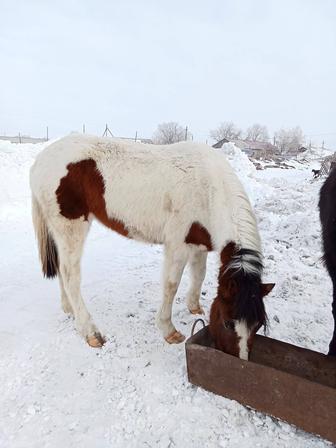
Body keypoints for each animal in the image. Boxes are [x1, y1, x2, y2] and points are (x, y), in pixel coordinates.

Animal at [30, 135, 274, 358]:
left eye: (258, 325)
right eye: (227, 322)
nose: (240, 360)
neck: (208, 189)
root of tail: (41, 159)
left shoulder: (198, 244)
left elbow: (199, 274)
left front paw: (194, 307)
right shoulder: (177, 246)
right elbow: (171, 285)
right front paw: (169, 330)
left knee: (62, 270)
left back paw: (69, 309)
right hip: (71, 228)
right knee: (71, 276)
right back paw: (90, 332)